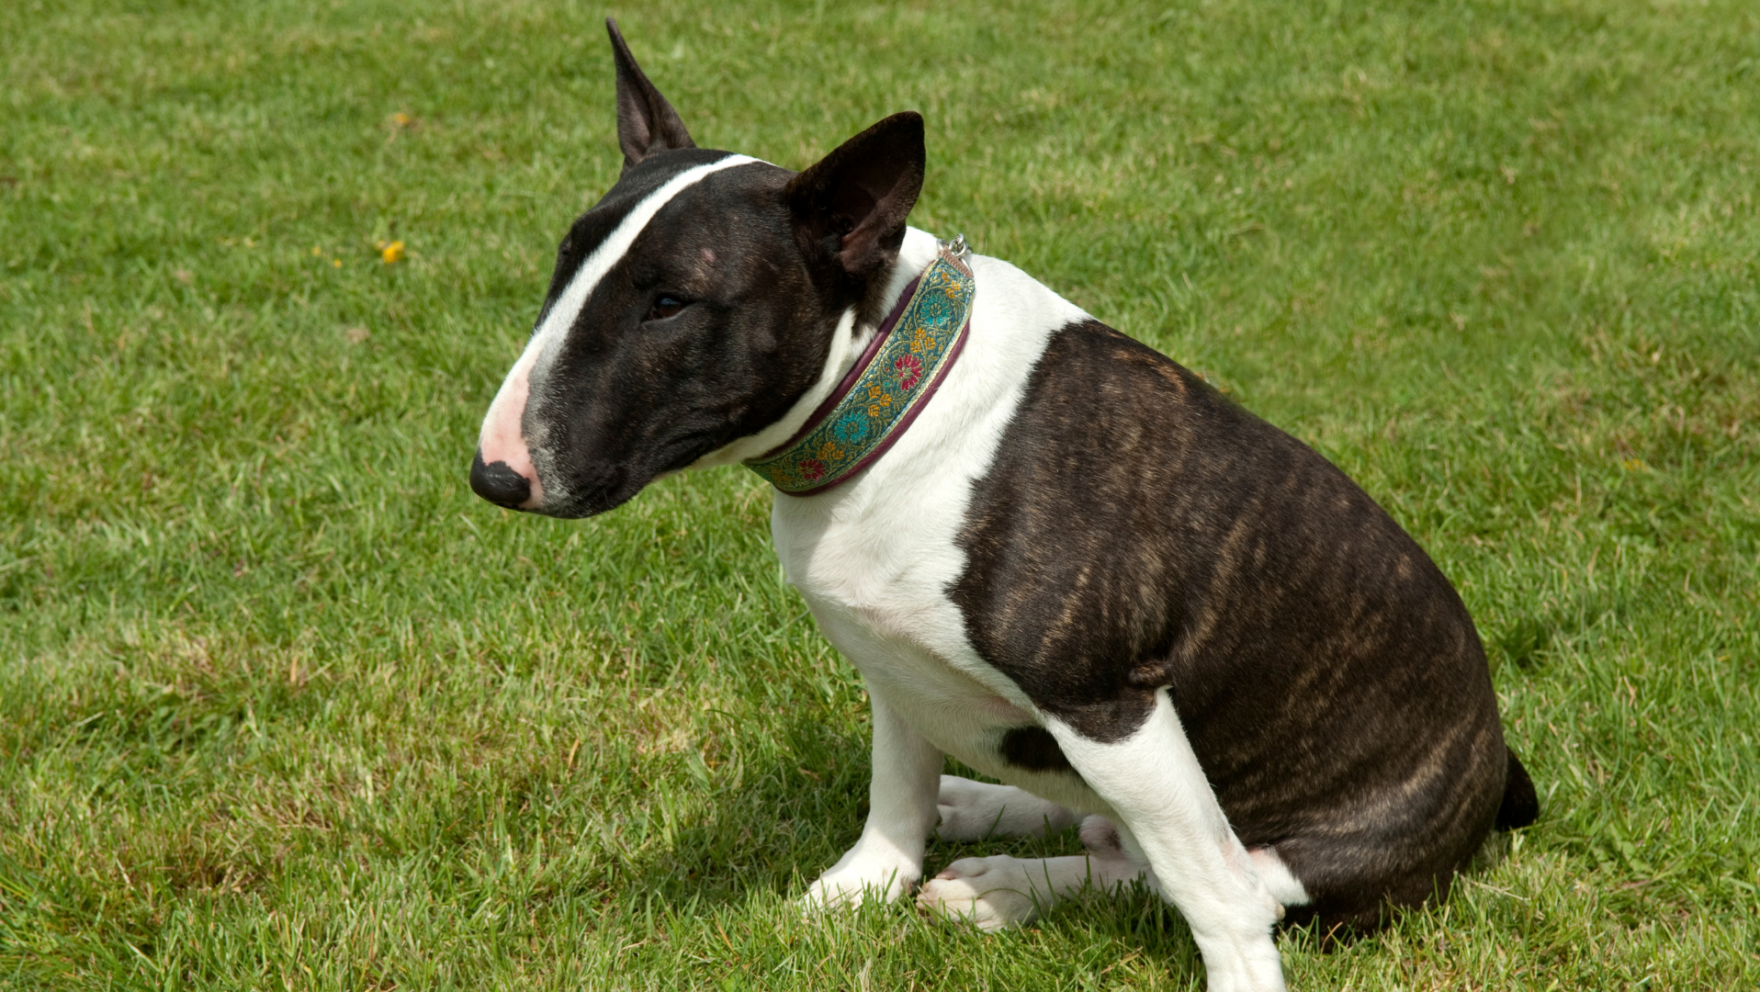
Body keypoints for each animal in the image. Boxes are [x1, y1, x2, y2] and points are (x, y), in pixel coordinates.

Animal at [475, 19, 1534, 984]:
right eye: (565, 259)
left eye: (670, 304)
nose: (493, 475)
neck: (888, 401)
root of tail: (1497, 779)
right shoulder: (891, 657)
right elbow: (896, 783)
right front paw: (862, 889)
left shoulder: (1108, 698)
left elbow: (1214, 898)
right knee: (1113, 839)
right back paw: (985, 820)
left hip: (1289, 835)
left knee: (1200, 873)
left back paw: (1009, 884)